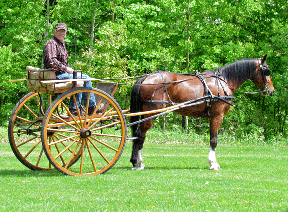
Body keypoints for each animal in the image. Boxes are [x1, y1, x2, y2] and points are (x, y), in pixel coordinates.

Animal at [130, 55, 274, 171]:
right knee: (139, 135)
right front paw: (213, 164)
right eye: (266, 70)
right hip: (150, 113)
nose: (272, 90)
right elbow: (214, 140)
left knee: (138, 135)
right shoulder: (217, 116)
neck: (223, 81)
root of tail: (145, 77)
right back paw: (139, 163)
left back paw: (135, 161)